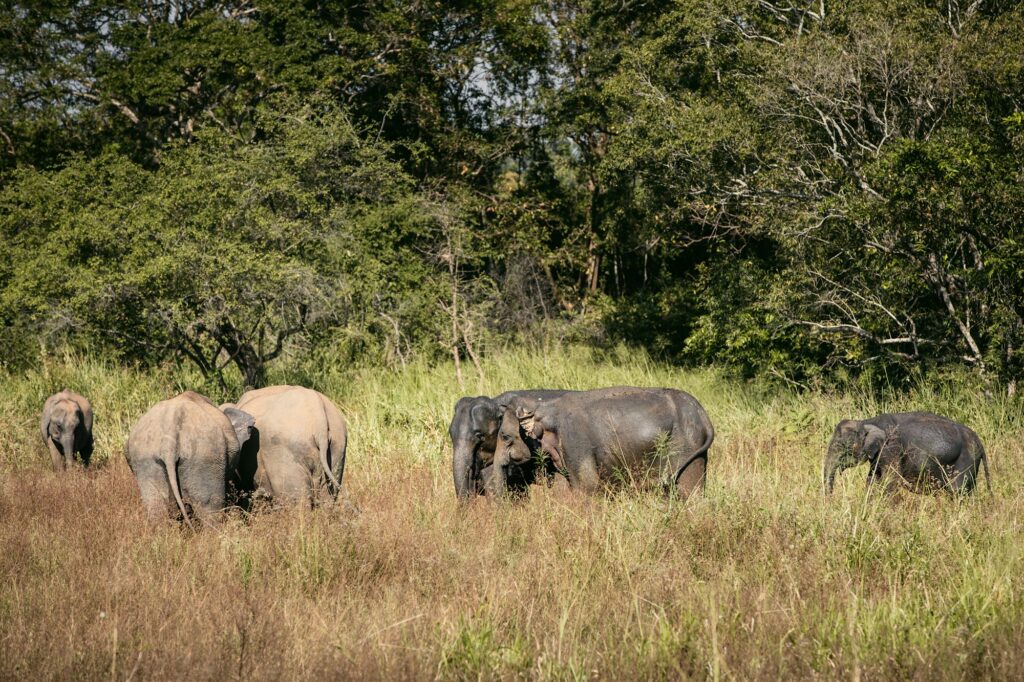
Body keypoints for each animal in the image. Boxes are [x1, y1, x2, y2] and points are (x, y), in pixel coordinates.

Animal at [495, 386, 714, 499]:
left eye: (505, 436)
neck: (545, 407)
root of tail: (705, 418)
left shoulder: (576, 443)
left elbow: (587, 487)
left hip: (685, 447)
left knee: (689, 493)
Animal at [823, 411, 990, 495]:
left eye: (842, 446)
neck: (866, 421)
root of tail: (979, 441)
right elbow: (873, 479)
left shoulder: (891, 448)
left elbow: (890, 479)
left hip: (966, 459)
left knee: (957, 491)